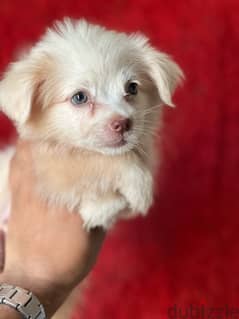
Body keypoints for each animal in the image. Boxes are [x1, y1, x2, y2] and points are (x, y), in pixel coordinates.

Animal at [0, 19, 183, 230]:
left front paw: (98, 212)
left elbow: (120, 201)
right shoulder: (50, 166)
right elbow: (99, 160)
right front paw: (140, 188)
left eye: (132, 88)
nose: (123, 124)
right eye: (79, 97)